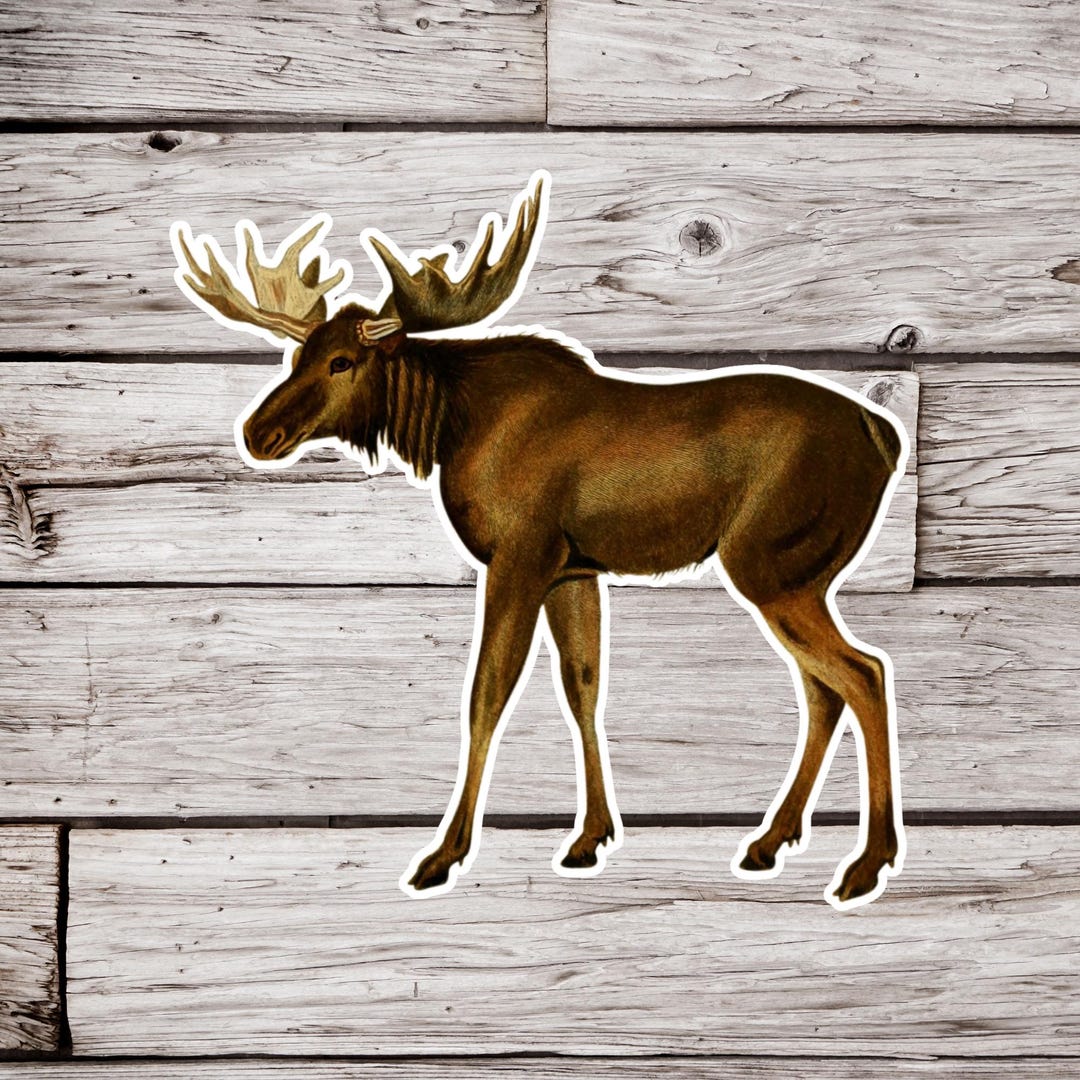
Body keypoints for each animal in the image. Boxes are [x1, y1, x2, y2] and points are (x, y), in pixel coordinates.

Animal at [171, 172, 908, 910]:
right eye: (298, 354)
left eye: (344, 361)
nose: (256, 433)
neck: (450, 431)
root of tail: (885, 438)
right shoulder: (574, 570)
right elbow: (582, 686)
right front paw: (589, 838)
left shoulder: (519, 557)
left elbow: (486, 694)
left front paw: (444, 854)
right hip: (796, 573)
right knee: (823, 688)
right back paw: (769, 842)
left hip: (771, 563)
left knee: (864, 672)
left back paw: (867, 861)